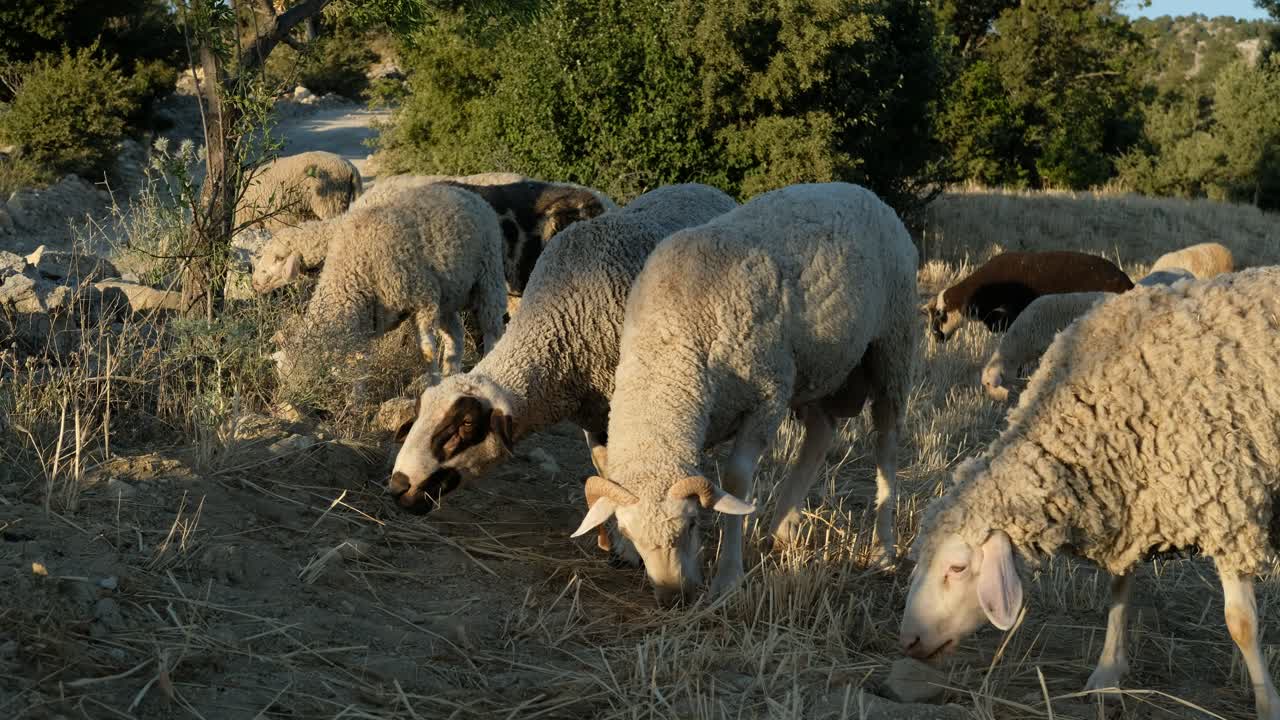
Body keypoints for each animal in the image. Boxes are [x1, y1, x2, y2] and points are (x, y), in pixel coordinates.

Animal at [273, 183, 506, 394]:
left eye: (299, 369)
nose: (286, 398)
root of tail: (469, 194)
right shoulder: (367, 320)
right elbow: (359, 363)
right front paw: (357, 398)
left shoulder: (424, 297)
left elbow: (427, 351)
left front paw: (432, 384)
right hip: (448, 297)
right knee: (456, 337)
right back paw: (451, 374)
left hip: (490, 275)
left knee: (493, 329)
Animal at [386, 184, 737, 561]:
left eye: (466, 424)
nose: (398, 487)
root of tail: (704, 188)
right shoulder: (595, 417)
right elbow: (608, 473)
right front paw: (617, 542)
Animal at [570, 182, 920, 604]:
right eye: (630, 534)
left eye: (691, 525)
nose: (674, 598)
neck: (671, 340)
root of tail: (865, 193)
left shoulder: (766, 397)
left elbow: (735, 481)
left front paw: (728, 577)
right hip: (813, 369)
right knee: (820, 433)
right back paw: (780, 528)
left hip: (892, 345)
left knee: (886, 442)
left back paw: (883, 551)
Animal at [899, 266, 1280, 720]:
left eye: (956, 568)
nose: (908, 642)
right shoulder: (1132, 502)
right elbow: (1118, 591)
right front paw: (1107, 673)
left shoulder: (1227, 504)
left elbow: (1241, 623)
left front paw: (1267, 702)